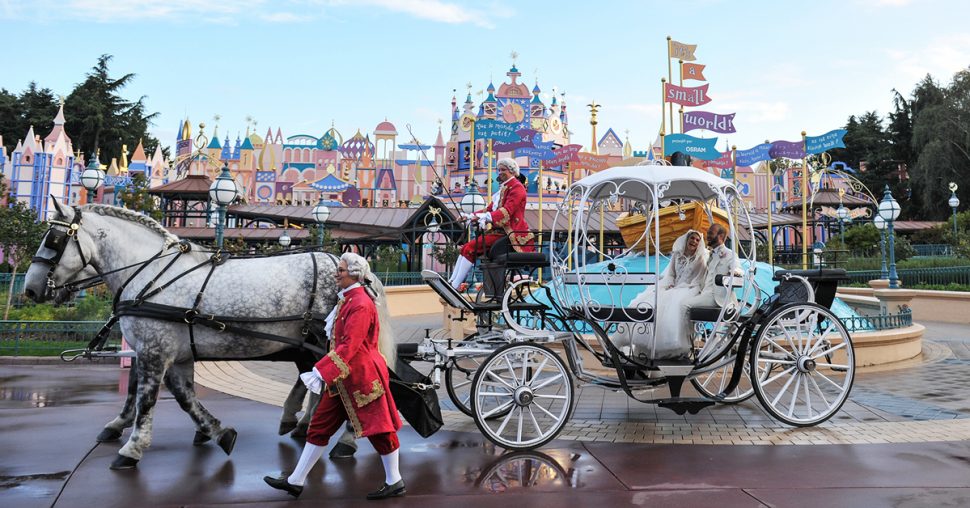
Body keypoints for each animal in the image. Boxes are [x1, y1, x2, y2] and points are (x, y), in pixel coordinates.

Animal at [25, 200, 398, 470]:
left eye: (53, 240)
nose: (30, 289)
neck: (149, 274)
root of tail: (347, 264)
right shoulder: (169, 351)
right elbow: (180, 395)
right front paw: (217, 432)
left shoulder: (154, 350)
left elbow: (146, 397)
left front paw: (131, 448)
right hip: (310, 344)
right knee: (319, 382)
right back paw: (302, 425)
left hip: (330, 342)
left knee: (350, 381)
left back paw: (345, 440)